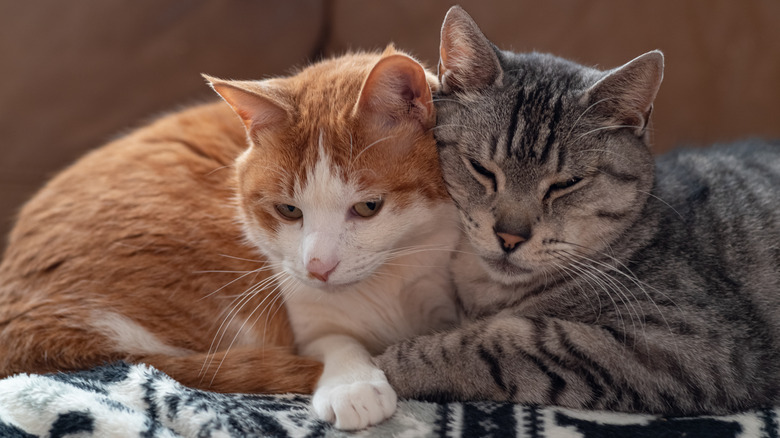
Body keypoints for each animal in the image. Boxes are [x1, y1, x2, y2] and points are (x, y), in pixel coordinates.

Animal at [0, 47, 460, 428]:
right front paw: (353, 383)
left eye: (368, 207)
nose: (318, 268)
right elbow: (336, 341)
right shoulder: (304, 324)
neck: (391, 281)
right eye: (288, 211)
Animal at [372, 6, 780, 414]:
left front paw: (385, 367)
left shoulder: (688, 345)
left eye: (566, 183)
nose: (509, 236)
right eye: (481, 169)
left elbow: (499, 342)